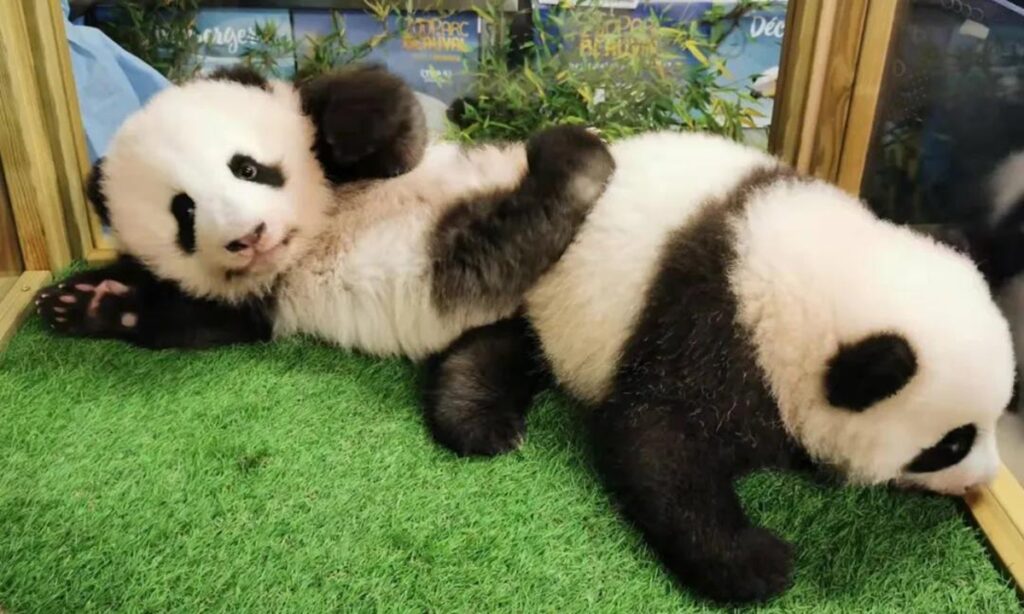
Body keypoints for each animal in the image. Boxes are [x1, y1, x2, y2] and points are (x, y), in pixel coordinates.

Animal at [35, 65, 614, 359]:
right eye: (184, 214)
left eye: (247, 168)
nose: (250, 235)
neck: (313, 233)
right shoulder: (251, 300)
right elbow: (199, 321)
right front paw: (86, 303)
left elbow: (396, 129)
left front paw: (337, 126)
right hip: (465, 259)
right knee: (512, 237)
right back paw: (576, 164)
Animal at [422, 131, 1016, 604]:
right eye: (951, 444)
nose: (984, 480)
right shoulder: (708, 326)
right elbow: (656, 439)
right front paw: (760, 562)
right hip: (550, 285)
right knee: (508, 341)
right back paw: (479, 420)